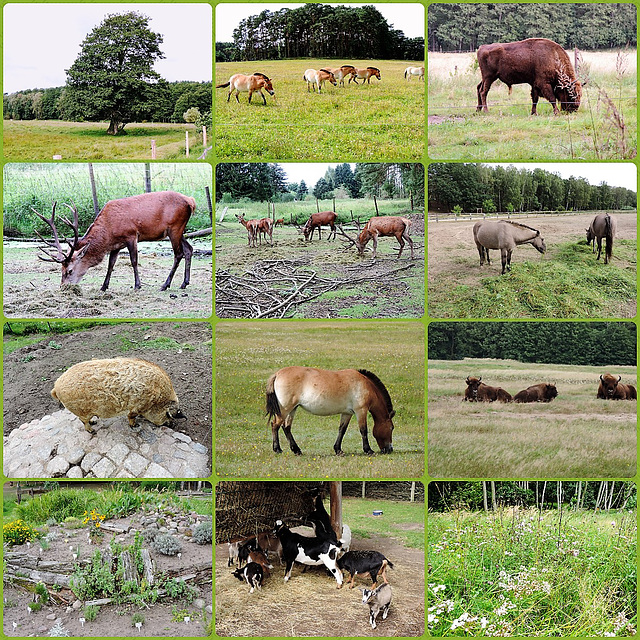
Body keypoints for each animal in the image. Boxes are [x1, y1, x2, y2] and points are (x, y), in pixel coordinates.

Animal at [33, 190, 194, 290]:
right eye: (61, 269)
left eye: (70, 270)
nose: (63, 287)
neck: (109, 231)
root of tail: (190, 201)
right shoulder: (116, 244)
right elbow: (110, 265)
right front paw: (104, 286)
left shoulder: (131, 235)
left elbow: (133, 261)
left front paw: (137, 285)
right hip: (179, 230)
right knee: (189, 249)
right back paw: (184, 283)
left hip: (174, 227)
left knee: (178, 254)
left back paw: (165, 285)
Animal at [264, 364, 396, 456]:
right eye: (391, 428)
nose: (389, 449)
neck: (364, 384)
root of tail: (278, 374)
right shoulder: (361, 411)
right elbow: (363, 430)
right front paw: (368, 450)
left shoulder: (347, 413)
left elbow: (342, 430)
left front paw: (338, 450)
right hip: (285, 409)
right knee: (275, 425)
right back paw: (277, 449)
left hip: (292, 409)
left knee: (286, 427)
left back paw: (296, 450)